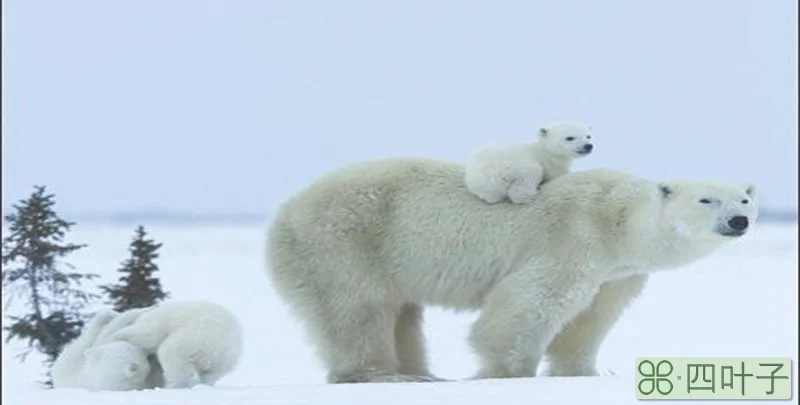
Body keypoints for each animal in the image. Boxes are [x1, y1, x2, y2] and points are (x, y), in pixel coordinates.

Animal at [268, 157, 756, 382]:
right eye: (706, 199)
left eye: (743, 198)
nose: (738, 221)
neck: (616, 220)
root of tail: (283, 213)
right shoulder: (573, 238)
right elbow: (533, 302)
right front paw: (507, 372)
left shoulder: (618, 274)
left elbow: (592, 318)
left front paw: (582, 374)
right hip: (344, 242)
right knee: (359, 309)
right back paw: (384, 374)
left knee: (403, 314)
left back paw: (421, 372)